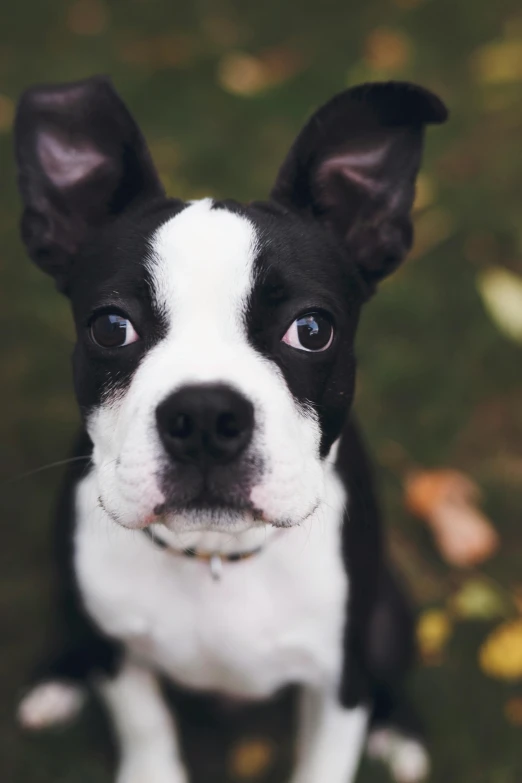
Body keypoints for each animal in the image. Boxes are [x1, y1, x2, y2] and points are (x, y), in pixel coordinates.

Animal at [13, 78, 442, 783]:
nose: (206, 417)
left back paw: (399, 732)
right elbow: (145, 725)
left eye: (312, 329)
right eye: (110, 327)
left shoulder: (340, 679)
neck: (214, 555)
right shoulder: (117, 651)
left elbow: (327, 757)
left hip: (390, 612)